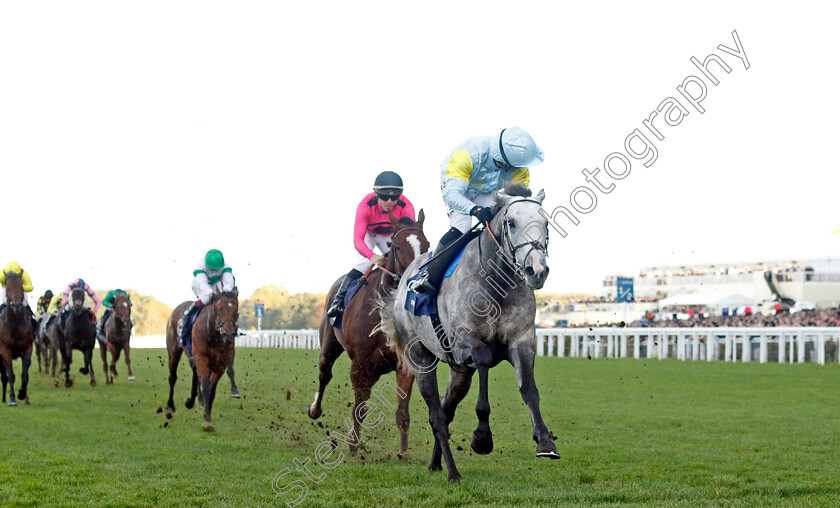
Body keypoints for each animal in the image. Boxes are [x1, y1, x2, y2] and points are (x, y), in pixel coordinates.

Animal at [0, 270, 35, 404]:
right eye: (8, 288)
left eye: (21, 287)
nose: (16, 306)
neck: (14, 323)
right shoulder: (5, 350)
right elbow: (10, 375)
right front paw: (12, 399)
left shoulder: (27, 348)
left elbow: (25, 375)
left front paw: (21, 394)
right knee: (4, 377)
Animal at [165, 290, 238, 428]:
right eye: (218, 309)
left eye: (236, 310)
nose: (228, 334)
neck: (212, 334)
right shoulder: (202, 360)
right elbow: (205, 385)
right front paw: (206, 418)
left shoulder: (220, 364)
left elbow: (211, 390)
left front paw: (207, 415)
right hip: (174, 352)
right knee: (172, 377)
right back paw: (169, 406)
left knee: (194, 373)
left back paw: (192, 401)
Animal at [306, 208, 426, 454]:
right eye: (396, 245)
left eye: (427, 244)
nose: (417, 280)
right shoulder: (361, 365)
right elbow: (359, 408)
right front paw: (353, 447)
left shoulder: (405, 364)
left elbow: (402, 412)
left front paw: (403, 452)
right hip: (328, 345)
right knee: (324, 374)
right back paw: (314, 409)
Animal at [378, 184, 556, 484]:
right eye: (511, 222)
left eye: (545, 223)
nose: (537, 270)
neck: (496, 283)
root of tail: (403, 283)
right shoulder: (467, 343)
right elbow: (484, 364)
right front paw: (482, 438)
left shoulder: (521, 341)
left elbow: (530, 390)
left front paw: (545, 442)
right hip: (421, 359)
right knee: (437, 415)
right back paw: (453, 472)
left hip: (460, 372)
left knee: (446, 410)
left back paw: (436, 463)